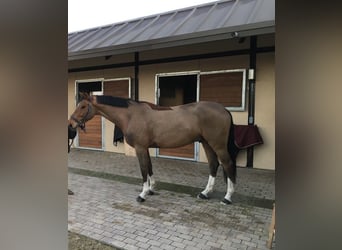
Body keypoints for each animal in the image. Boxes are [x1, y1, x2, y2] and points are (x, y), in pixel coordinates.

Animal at [67, 93, 238, 204]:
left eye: (83, 106)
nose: (71, 124)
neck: (131, 115)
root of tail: (224, 109)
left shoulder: (140, 148)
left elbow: (143, 169)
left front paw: (142, 194)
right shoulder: (145, 148)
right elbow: (149, 167)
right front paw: (150, 189)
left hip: (217, 144)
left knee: (227, 164)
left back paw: (228, 197)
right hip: (207, 143)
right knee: (213, 164)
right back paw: (205, 193)